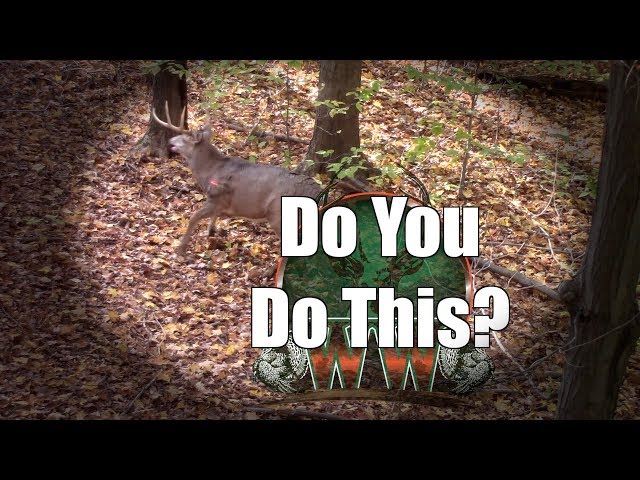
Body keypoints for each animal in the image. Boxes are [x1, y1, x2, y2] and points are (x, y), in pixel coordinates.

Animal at [151, 103, 323, 262]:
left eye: (185, 138)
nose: (170, 140)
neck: (210, 172)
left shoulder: (216, 198)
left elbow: (193, 217)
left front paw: (180, 250)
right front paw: (212, 232)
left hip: (278, 213)